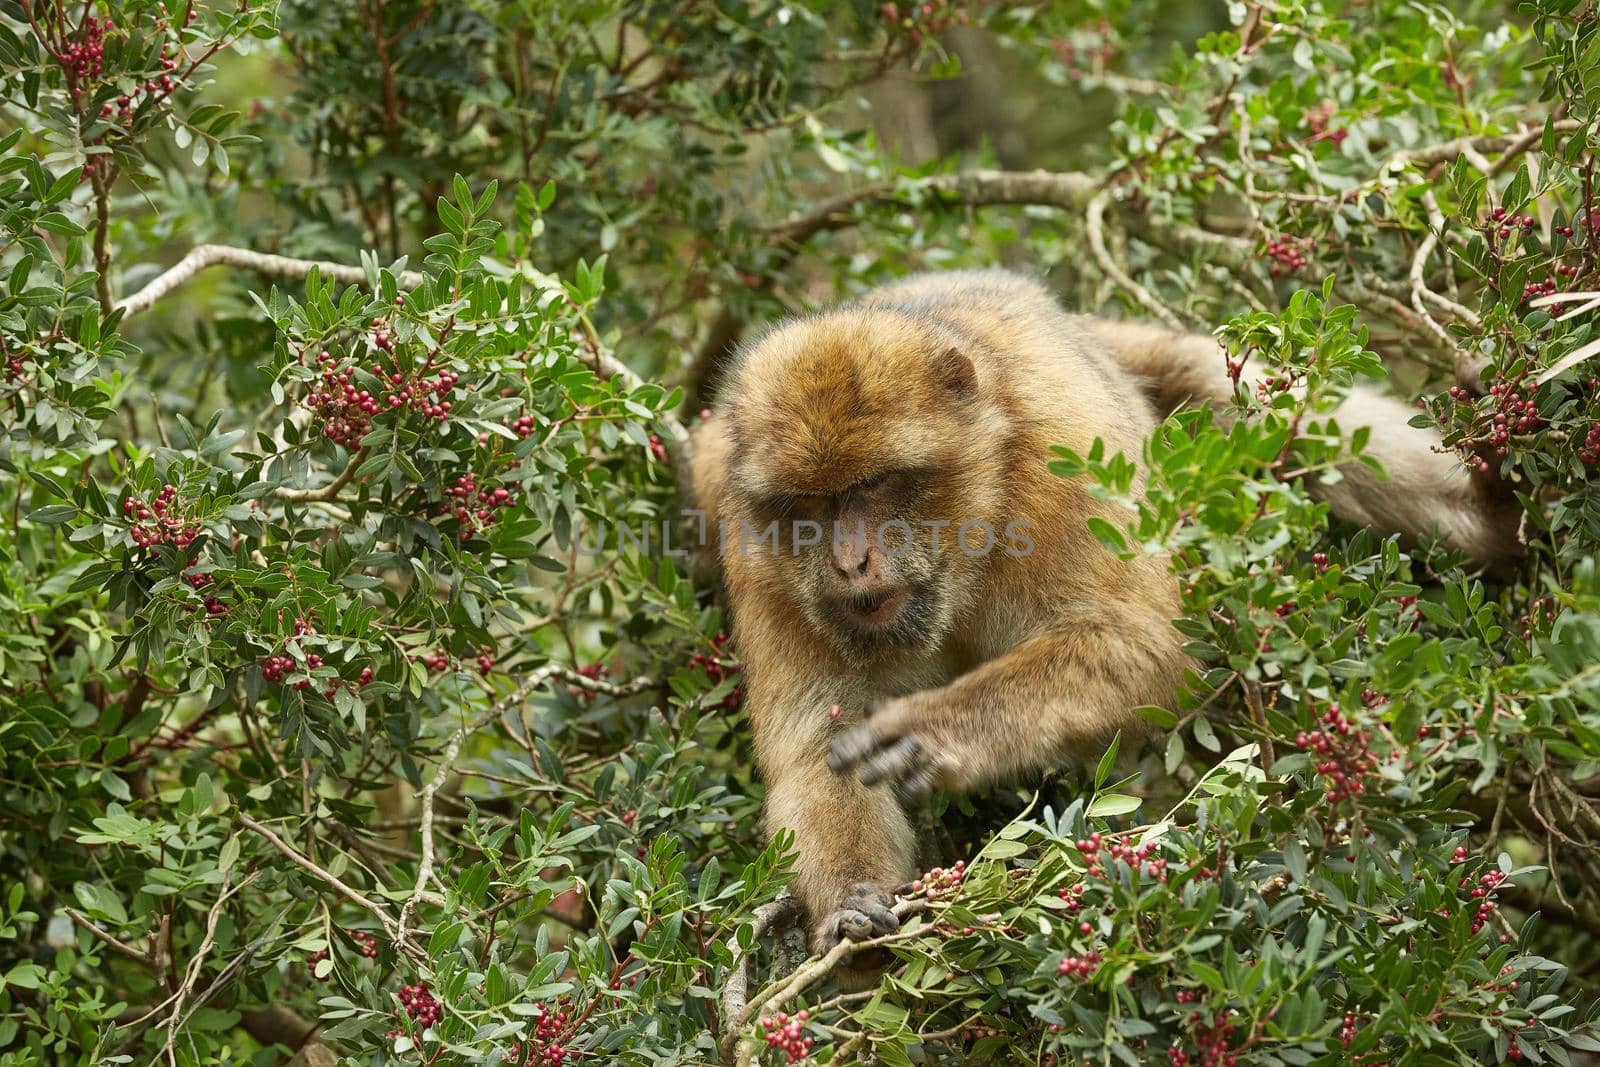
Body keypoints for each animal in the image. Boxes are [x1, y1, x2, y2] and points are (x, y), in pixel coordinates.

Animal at [681, 267, 1516, 966]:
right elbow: (813, 752)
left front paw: (939, 731)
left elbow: (1146, 642)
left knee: (1216, 381)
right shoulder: (758, 554)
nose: (851, 562)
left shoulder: (1062, 459)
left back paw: (1490, 514)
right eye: (809, 506)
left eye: (876, 485)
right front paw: (853, 910)